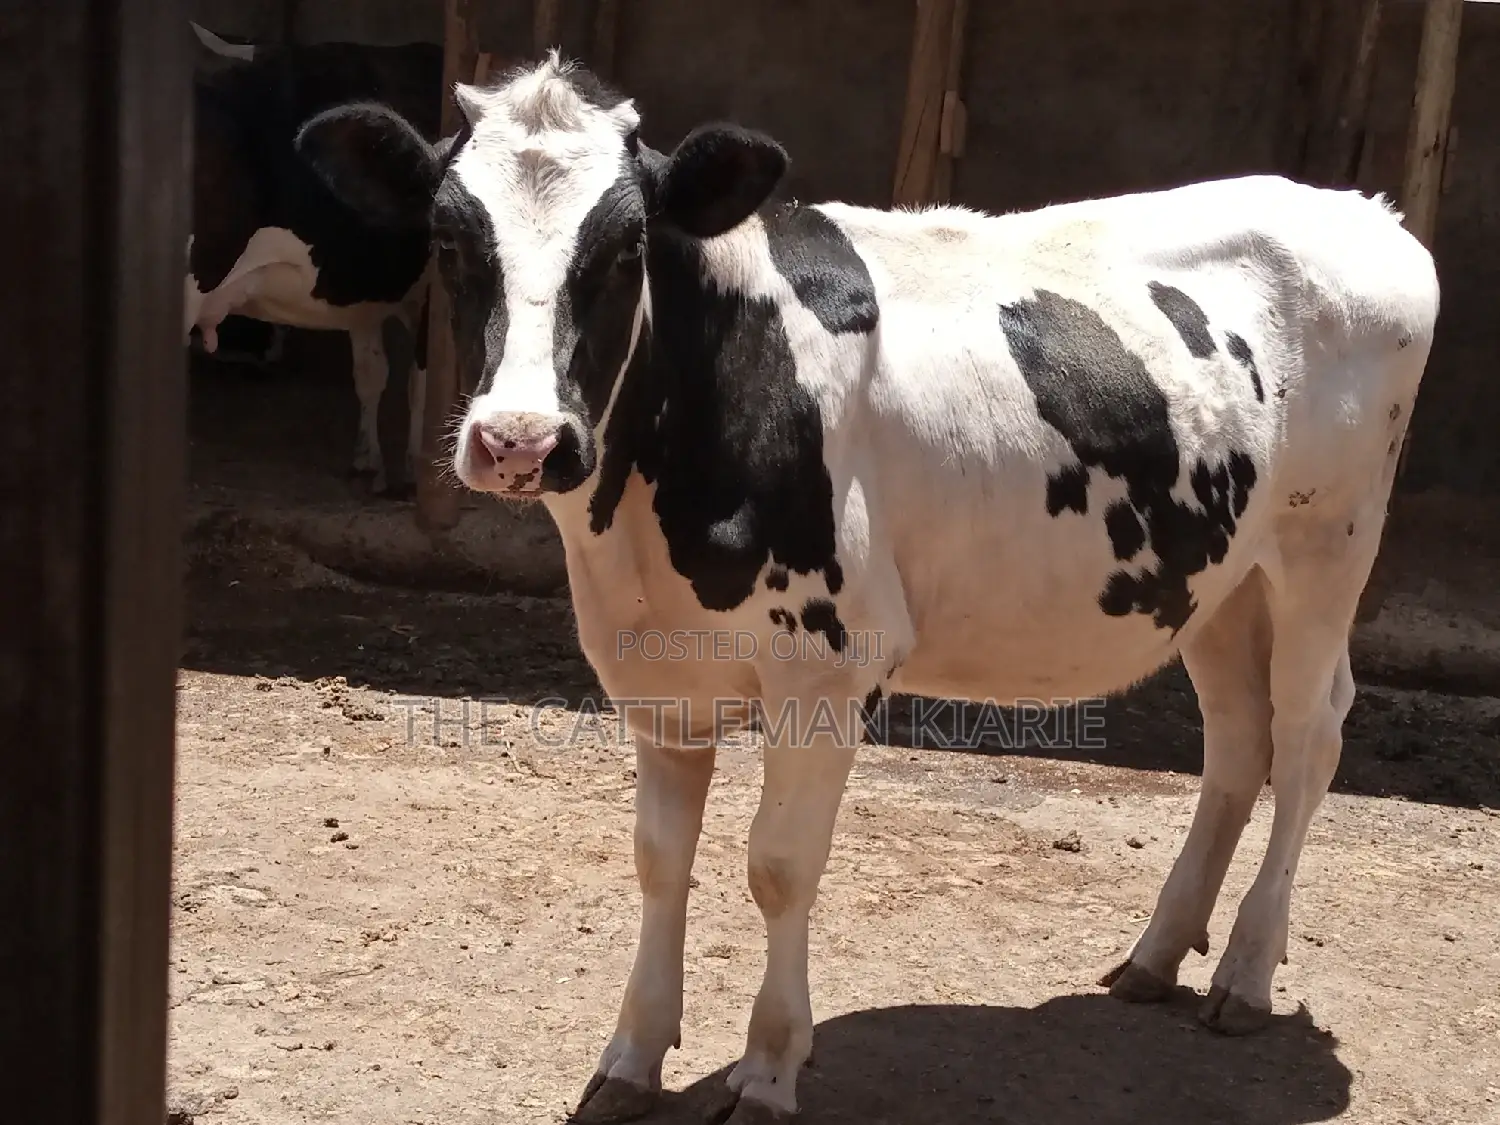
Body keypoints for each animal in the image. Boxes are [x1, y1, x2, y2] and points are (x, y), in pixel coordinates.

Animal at [293, 53, 1439, 1122]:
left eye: (625, 248)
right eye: (449, 241)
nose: (521, 441)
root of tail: (1364, 212)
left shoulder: (826, 669)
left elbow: (777, 866)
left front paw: (767, 1070)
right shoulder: (656, 675)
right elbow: (660, 861)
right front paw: (629, 1059)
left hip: (1326, 545)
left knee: (1309, 735)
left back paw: (1244, 974)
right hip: (1217, 572)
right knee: (1239, 737)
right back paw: (1159, 955)